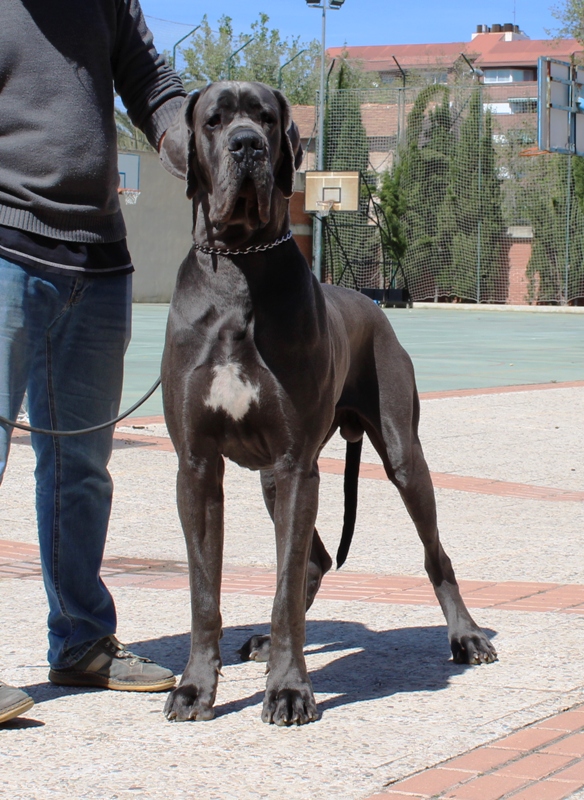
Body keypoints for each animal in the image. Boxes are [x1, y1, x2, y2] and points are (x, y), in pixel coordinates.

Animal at [160, 81, 498, 724]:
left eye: (266, 117)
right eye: (214, 120)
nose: (248, 146)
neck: (240, 266)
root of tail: (373, 304)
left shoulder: (297, 465)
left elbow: (285, 589)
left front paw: (290, 689)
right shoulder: (198, 466)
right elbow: (203, 591)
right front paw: (194, 687)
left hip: (399, 455)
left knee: (432, 554)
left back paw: (466, 636)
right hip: (273, 477)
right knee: (313, 561)